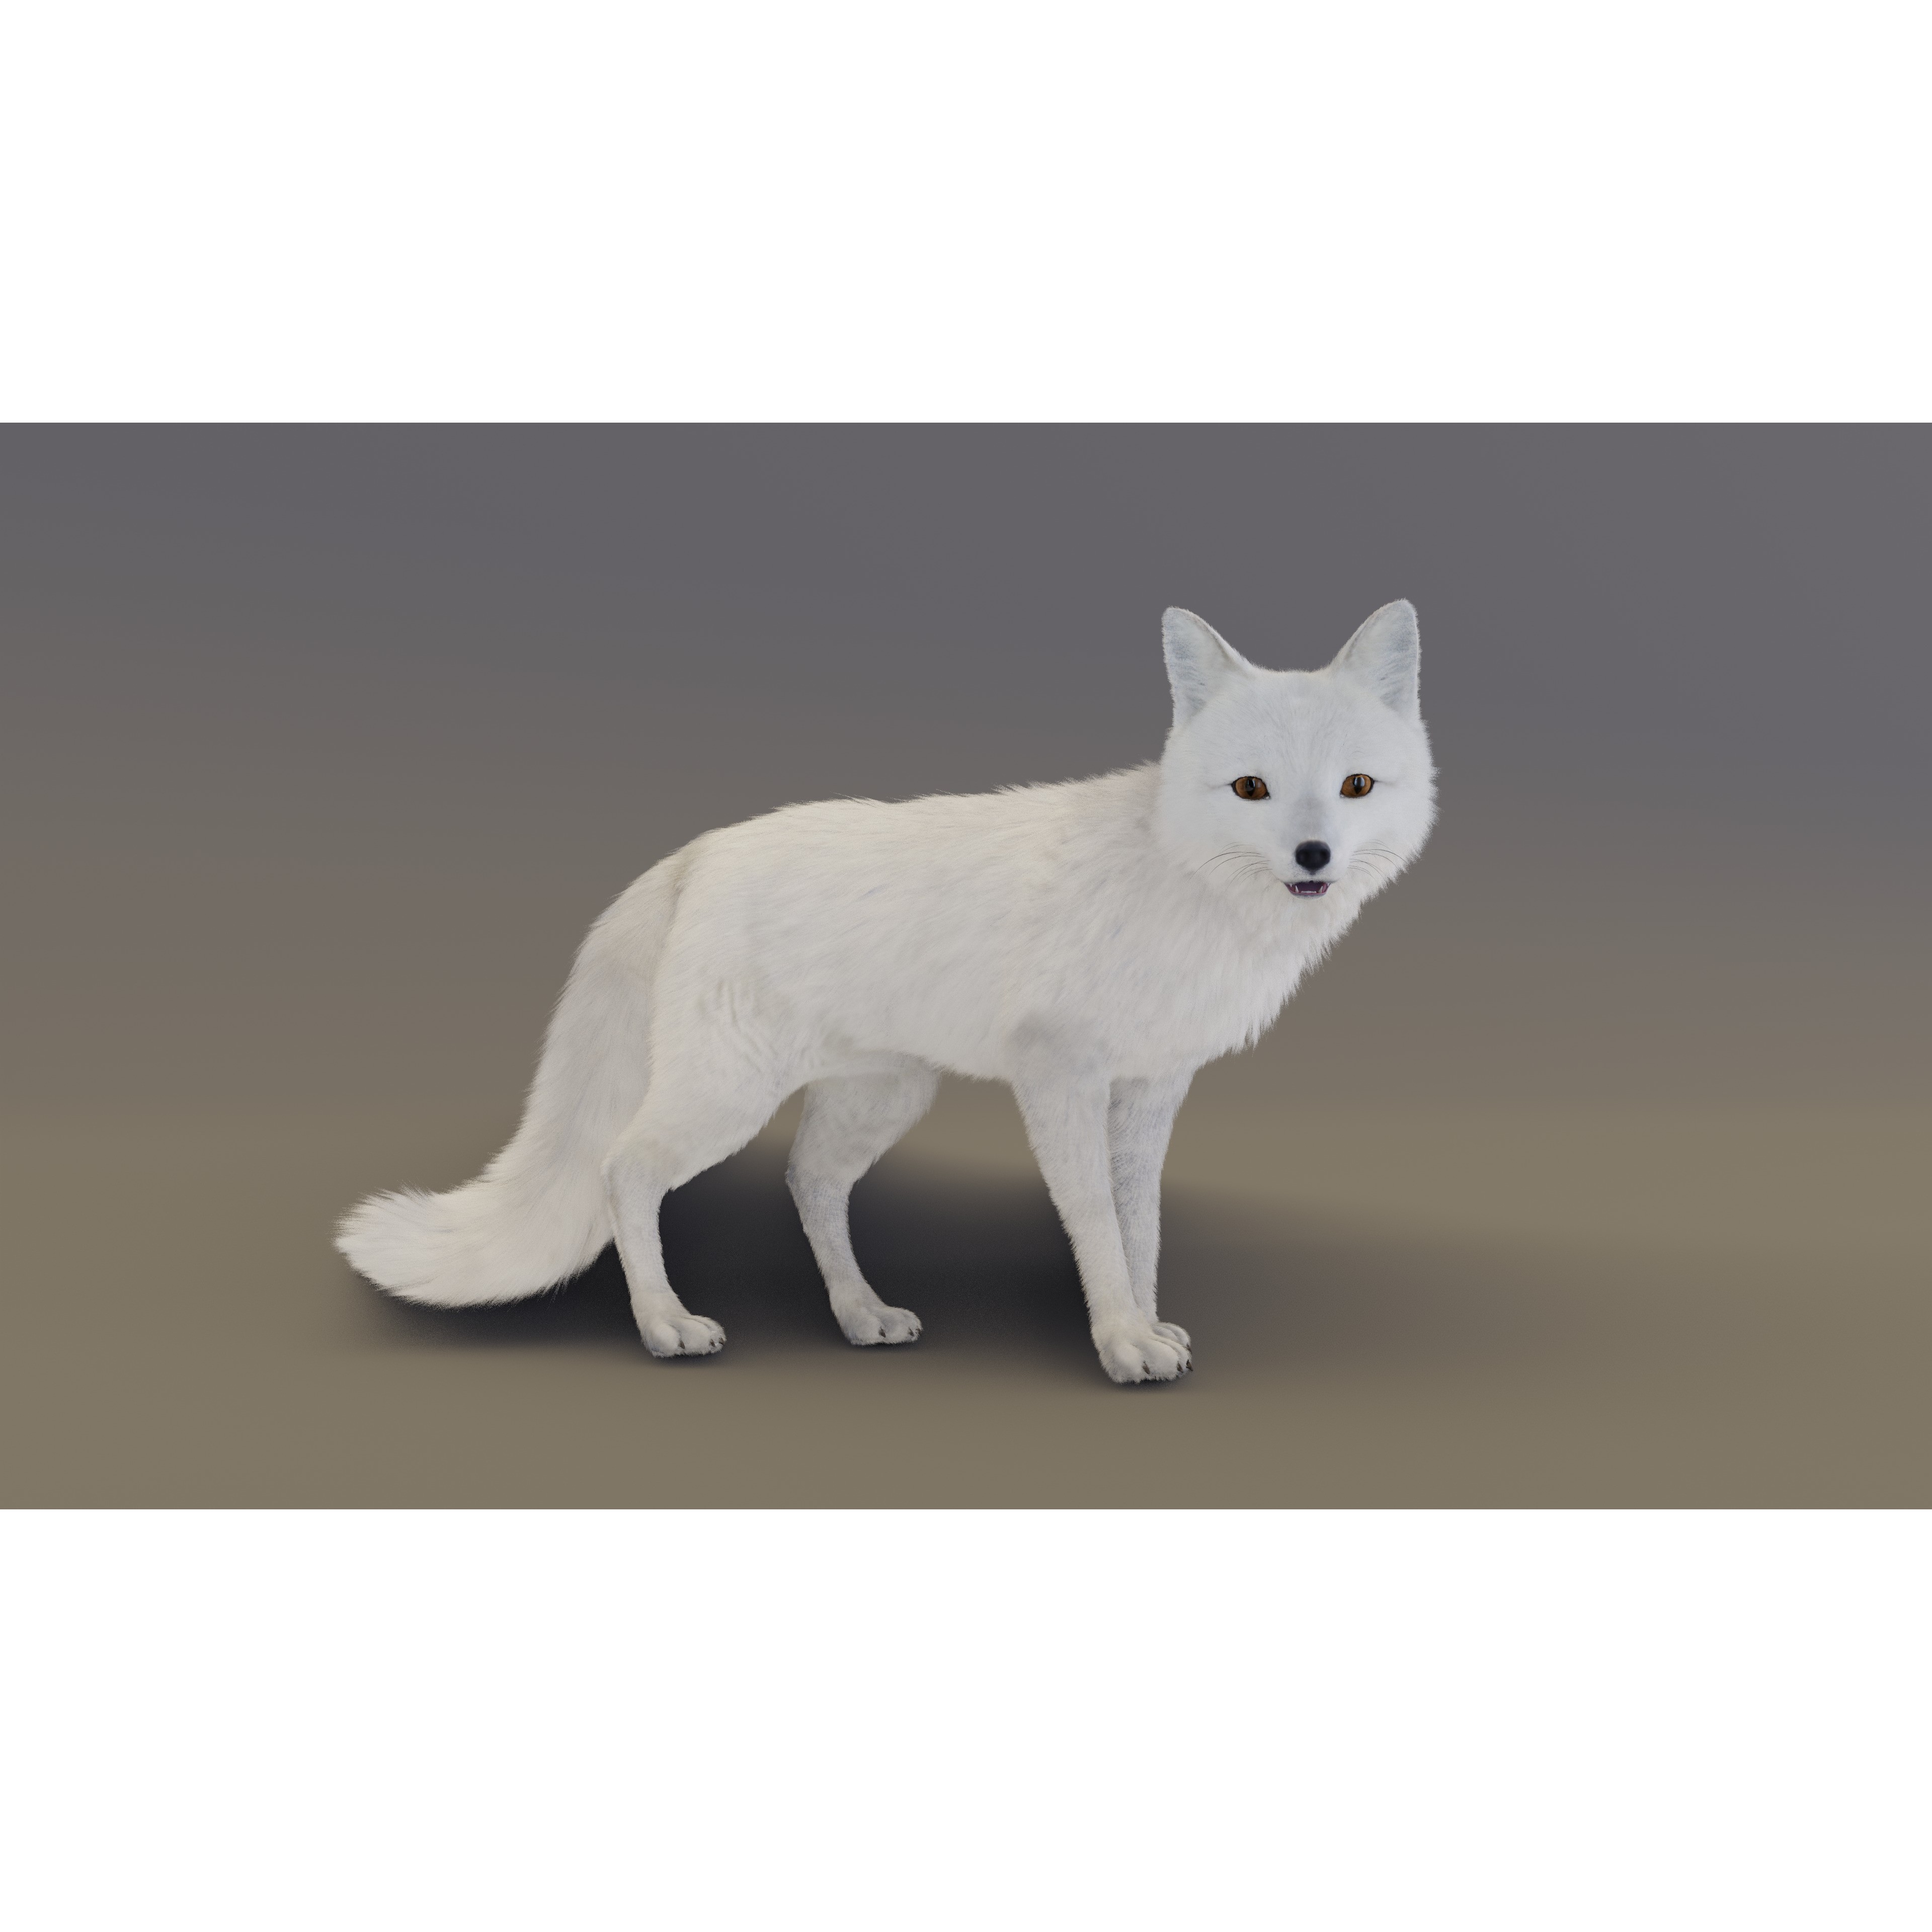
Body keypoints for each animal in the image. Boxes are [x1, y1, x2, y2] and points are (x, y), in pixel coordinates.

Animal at [338, 602, 1436, 1384]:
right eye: (1251, 789)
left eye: (1356, 787)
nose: (1313, 856)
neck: (1179, 883)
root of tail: (697, 852)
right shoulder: (1060, 1076)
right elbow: (1092, 1218)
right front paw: (1122, 1344)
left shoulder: (1153, 1087)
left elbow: (1142, 1225)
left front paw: (1150, 1322)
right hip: (725, 1100)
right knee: (624, 1171)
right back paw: (665, 1326)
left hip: (885, 1095)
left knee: (809, 1181)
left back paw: (860, 1315)